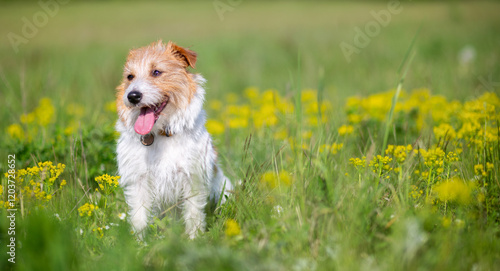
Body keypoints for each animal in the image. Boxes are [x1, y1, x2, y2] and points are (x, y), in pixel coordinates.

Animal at [115, 40, 232, 240]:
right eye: (130, 76)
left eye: (156, 72)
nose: (133, 96)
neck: (161, 134)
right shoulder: (139, 180)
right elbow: (139, 216)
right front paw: (138, 243)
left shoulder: (192, 177)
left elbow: (193, 213)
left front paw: (194, 239)